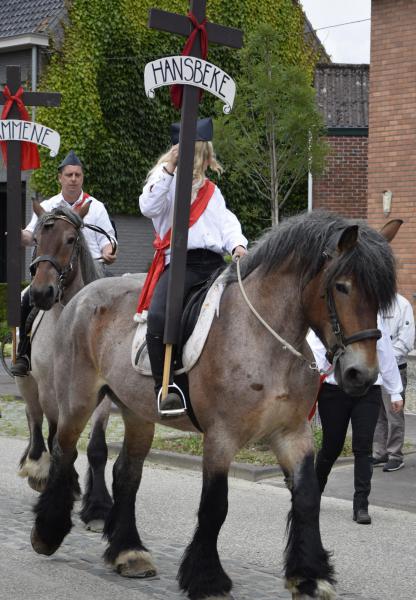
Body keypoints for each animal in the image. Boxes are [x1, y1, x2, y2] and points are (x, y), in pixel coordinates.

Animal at [16, 204, 112, 532]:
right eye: (35, 238)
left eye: (71, 239)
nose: (41, 293)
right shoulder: (49, 388)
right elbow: (57, 438)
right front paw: (58, 487)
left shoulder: (102, 395)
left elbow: (96, 448)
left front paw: (98, 508)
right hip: (28, 384)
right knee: (35, 420)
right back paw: (37, 467)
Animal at [29, 212, 400, 600]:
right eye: (342, 286)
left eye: (381, 298)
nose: (362, 374)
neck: (262, 336)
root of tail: (81, 297)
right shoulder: (221, 436)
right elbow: (215, 505)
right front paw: (207, 579)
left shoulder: (292, 432)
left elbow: (308, 497)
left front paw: (309, 576)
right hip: (78, 400)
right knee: (64, 451)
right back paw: (47, 532)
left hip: (137, 412)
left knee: (126, 475)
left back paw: (128, 552)